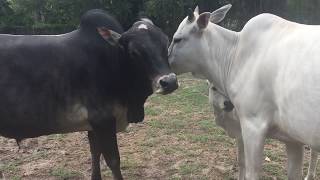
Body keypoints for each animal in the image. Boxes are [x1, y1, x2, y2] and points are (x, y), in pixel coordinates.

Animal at [0, 9, 178, 180]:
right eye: (134, 52)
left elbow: (95, 153)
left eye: (166, 42)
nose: (169, 82)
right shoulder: (103, 119)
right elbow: (113, 160)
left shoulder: (93, 125)